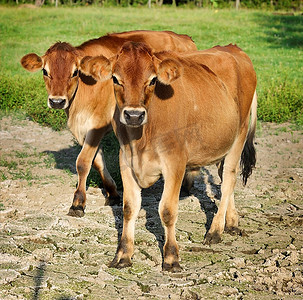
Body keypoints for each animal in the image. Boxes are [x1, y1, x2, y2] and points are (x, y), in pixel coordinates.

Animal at [20, 31, 198, 217]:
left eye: (75, 72)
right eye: (45, 71)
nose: (56, 101)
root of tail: (182, 37)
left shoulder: (96, 124)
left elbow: (83, 162)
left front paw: (78, 203)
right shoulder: (84, 130)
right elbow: (97, 162)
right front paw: (112, 193)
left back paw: (187, 184)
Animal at [81, 42, 258, 272]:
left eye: (153, 80)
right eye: (115, 79)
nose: (134, 115)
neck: (141, 138)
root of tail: (232, 48)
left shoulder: (175, 161)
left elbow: (167, 210)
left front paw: (171, 257)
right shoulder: (126, 160)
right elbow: (129, 208)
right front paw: (123, 254)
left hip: (240, 133)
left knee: (229, 178)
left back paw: (215, 230)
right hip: (223, 141)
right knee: (225, 177)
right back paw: (232, 221)